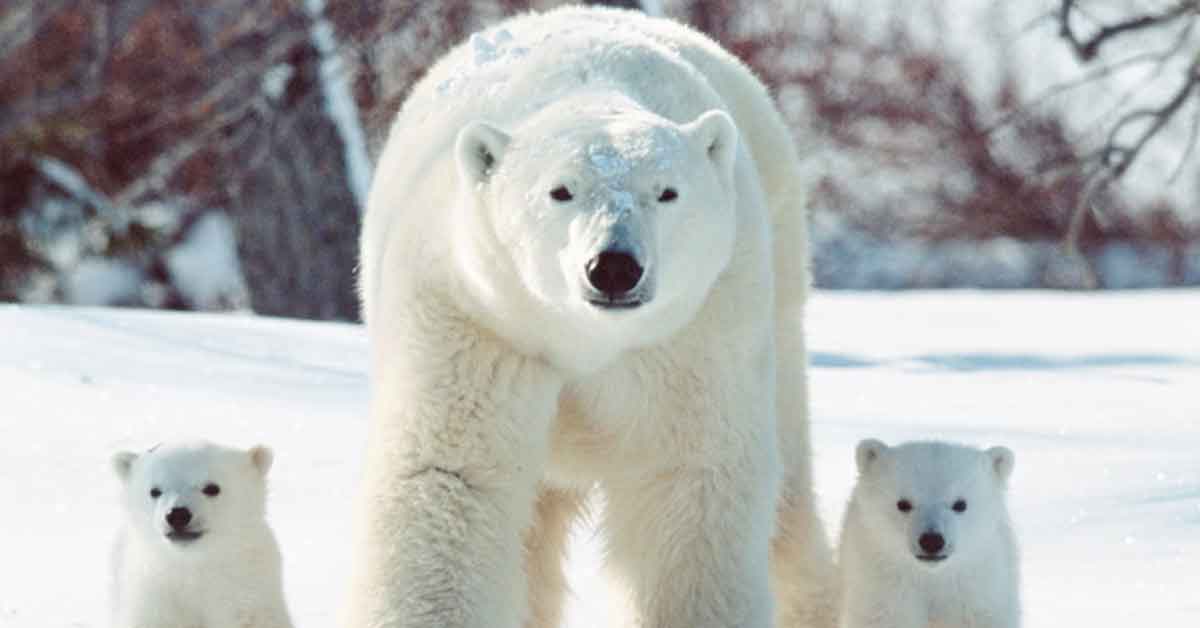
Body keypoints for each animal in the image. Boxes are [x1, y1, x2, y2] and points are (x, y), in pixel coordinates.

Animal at [109, 441, 292, 628]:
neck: (193, 565)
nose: (178, 515)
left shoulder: (247, 595)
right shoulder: (152, 595)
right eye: (154, 491)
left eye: (212, 488)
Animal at [348, 6, 835, 628]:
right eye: (561, 191)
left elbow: (689, 481)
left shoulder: (694, 332)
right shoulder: (474, 315)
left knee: (789, 497)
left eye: (667, 192)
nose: (614, 267)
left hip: (778, 283)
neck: (582, 338)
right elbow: (452, 473)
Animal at [840, 439, 1017, 628]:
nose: (932, 541)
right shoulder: (884, 591)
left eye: (960, 504)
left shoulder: (979, 593)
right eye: (903, 503)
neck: (931, 577)